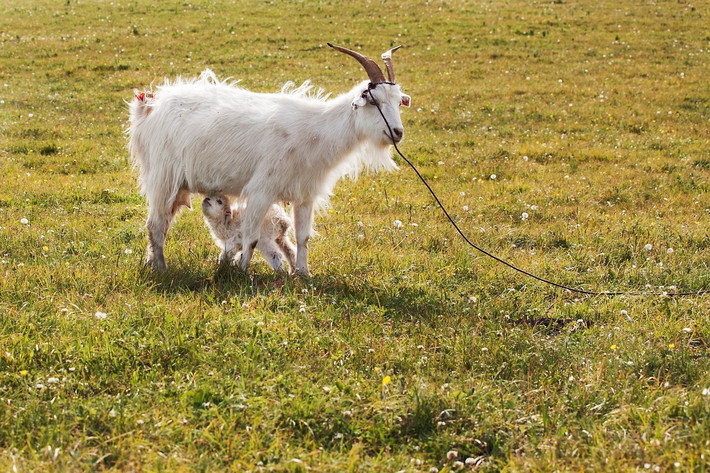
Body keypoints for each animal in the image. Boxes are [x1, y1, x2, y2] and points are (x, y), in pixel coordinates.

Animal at [128, 43, 412, 276]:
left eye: (399, 102)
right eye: (373, 101)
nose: (397, 132)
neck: (315, 131)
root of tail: (149, 106)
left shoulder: (304, 195)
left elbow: (302, 237)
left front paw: (303, 274)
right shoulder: (260, 191)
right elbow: (251, 237)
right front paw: (242, 273)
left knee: (161, 224)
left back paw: (151, 263)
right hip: (163, 178)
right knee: (155, 225)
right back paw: (162, 270)